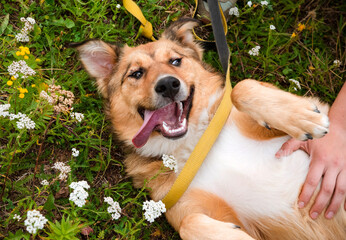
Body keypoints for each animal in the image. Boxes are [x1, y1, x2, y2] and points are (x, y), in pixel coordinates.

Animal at [75, 19, 346, 240]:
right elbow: (189, 225)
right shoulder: (191, 207)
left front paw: (303, 117)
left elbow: (242, 87)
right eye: (136, 73)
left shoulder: (302, 119)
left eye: (175, 61)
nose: (168, 85)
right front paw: (237, 237)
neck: (195, 144)